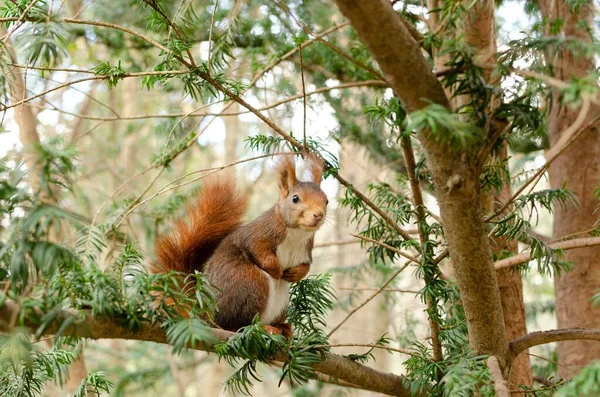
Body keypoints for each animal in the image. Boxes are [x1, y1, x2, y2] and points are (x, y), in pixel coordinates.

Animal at [150, 154, 328, 338]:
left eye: (327, 201)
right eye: (295, 199)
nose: (318, 215)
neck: (296, 233)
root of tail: (208, 316)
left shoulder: (305, 251)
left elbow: (305, 267)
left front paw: (294, 274)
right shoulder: (259, 235)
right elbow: (259, 252)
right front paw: (277, 270)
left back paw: (283, 328)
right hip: (250, 283)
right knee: (236, 325)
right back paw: (264, 328)